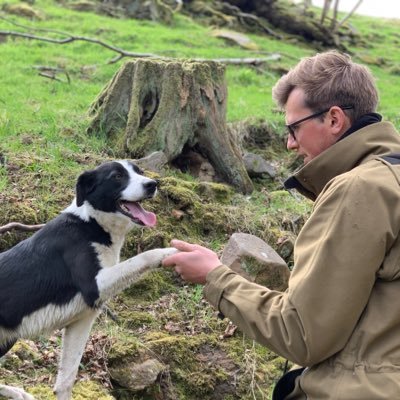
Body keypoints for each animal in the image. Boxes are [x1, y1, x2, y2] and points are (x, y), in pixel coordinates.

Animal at [0, 160, 177, 400]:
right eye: (117, 176)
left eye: (139, 172)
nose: (152, 184)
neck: (92, 223)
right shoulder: (94, 286)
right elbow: (143, 257)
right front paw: (171, 252)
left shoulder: (81, 320)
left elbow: (66, 381)